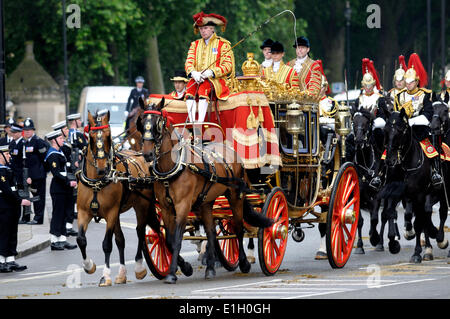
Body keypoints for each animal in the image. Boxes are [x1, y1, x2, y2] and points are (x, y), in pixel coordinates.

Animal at [74, 110, 157, 288]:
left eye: (108, 136)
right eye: (91, 137)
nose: (102, 168)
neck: (97, 182)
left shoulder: (111, 213)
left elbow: (107, 244)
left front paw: (105, 276)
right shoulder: (84, 213)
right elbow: (81, 240)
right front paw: (89, 266)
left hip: (141, 206)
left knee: (140, 232)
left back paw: (139, 268)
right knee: (121, 240)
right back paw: (122, 274)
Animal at [135, 99, 272, 284]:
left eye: (158, 125)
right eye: (142, 124)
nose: (148, 154)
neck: (174, 168)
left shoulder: (183, 206)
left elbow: (177, 238)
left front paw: (172, 274)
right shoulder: (165, 208)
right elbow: (169, 240)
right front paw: (184, 268)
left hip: (235, 197)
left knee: (237, 228)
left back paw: (243, 263)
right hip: (206, 202)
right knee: (211, 232)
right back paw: (211, 268)